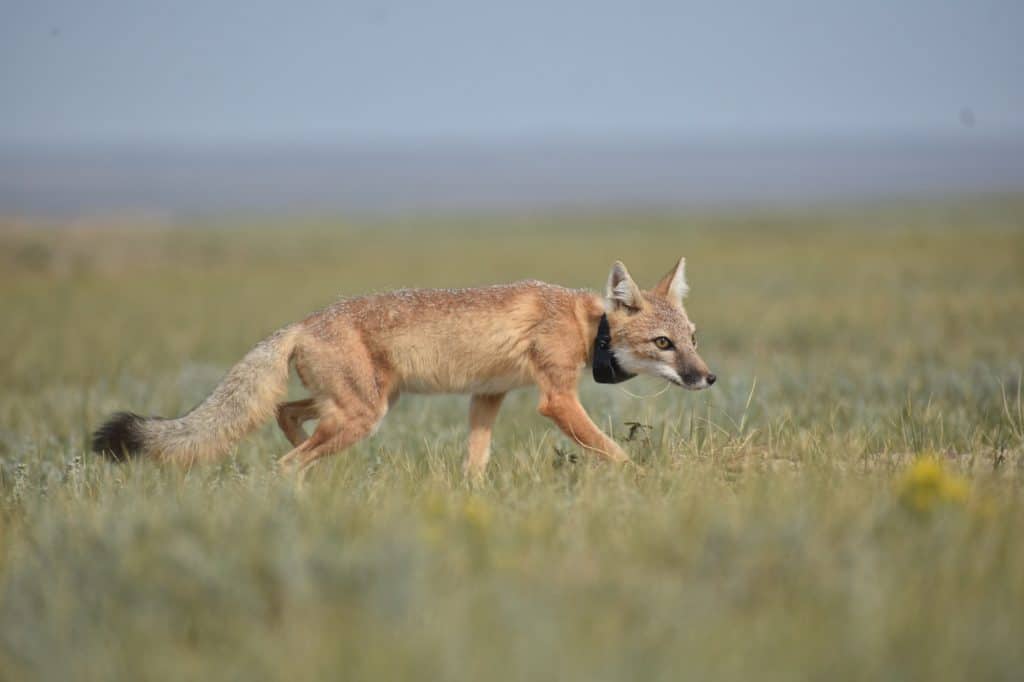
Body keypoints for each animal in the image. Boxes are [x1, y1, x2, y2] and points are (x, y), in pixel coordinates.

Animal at [94, 258, 712, 475]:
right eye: (663, 344)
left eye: (693, 339)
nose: (708, 377)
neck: (587, 324)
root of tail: (302, 322)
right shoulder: (556, 400)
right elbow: (615, 452)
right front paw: (647, 482)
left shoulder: (487, 396)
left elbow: (475, 462)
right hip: (363, 414)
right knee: (285, 460)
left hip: (361, 405)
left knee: (286, 417)